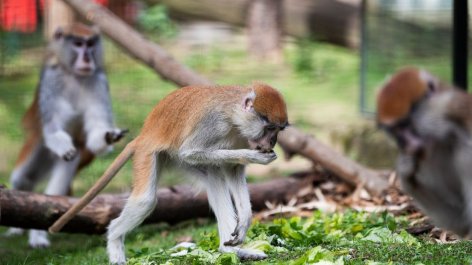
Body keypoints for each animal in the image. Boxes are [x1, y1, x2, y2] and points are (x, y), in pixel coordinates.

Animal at [7, 23, 125, 248]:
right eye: (78, 44)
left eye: (90, 43)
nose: (87, 58)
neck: (74, 75)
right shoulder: (51, 83)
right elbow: (53, 130)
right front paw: (64, 148)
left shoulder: (98, 81)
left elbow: (96, 131)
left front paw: (107, 136)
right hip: (36, 146)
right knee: (23, 179)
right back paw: (16, 228)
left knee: (52, 192)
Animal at [49, 82, 290, 262]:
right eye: (269, 128)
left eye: (278, 130)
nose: (272, 142)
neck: (233, 113)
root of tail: (144, 134)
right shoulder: (213, 124)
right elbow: (191, 152)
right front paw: (257, 157)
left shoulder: (240, 135)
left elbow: (232, 169)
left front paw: (244, 221)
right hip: (147, 154)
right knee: (145, 201)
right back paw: (115, 241)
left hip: (170, 158)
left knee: (214, 178)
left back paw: (230, 251)